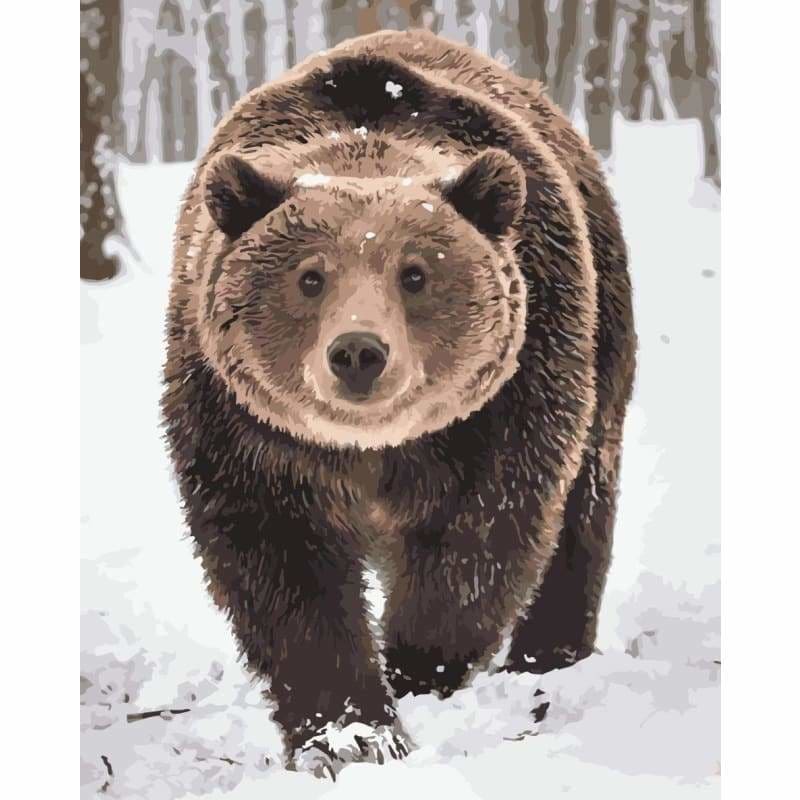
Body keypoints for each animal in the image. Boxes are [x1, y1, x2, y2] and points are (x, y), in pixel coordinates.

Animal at [162, 28, 635, 776]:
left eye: (415, 274)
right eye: (310, 276)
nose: (359, 352)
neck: (373, 449)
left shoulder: (510, 398)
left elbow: (484, 537)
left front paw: (415, 669)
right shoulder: (241, 425)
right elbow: (282, 569)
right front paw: (350, 733)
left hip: (603, 331)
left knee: (583, 509)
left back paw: (548, 658)